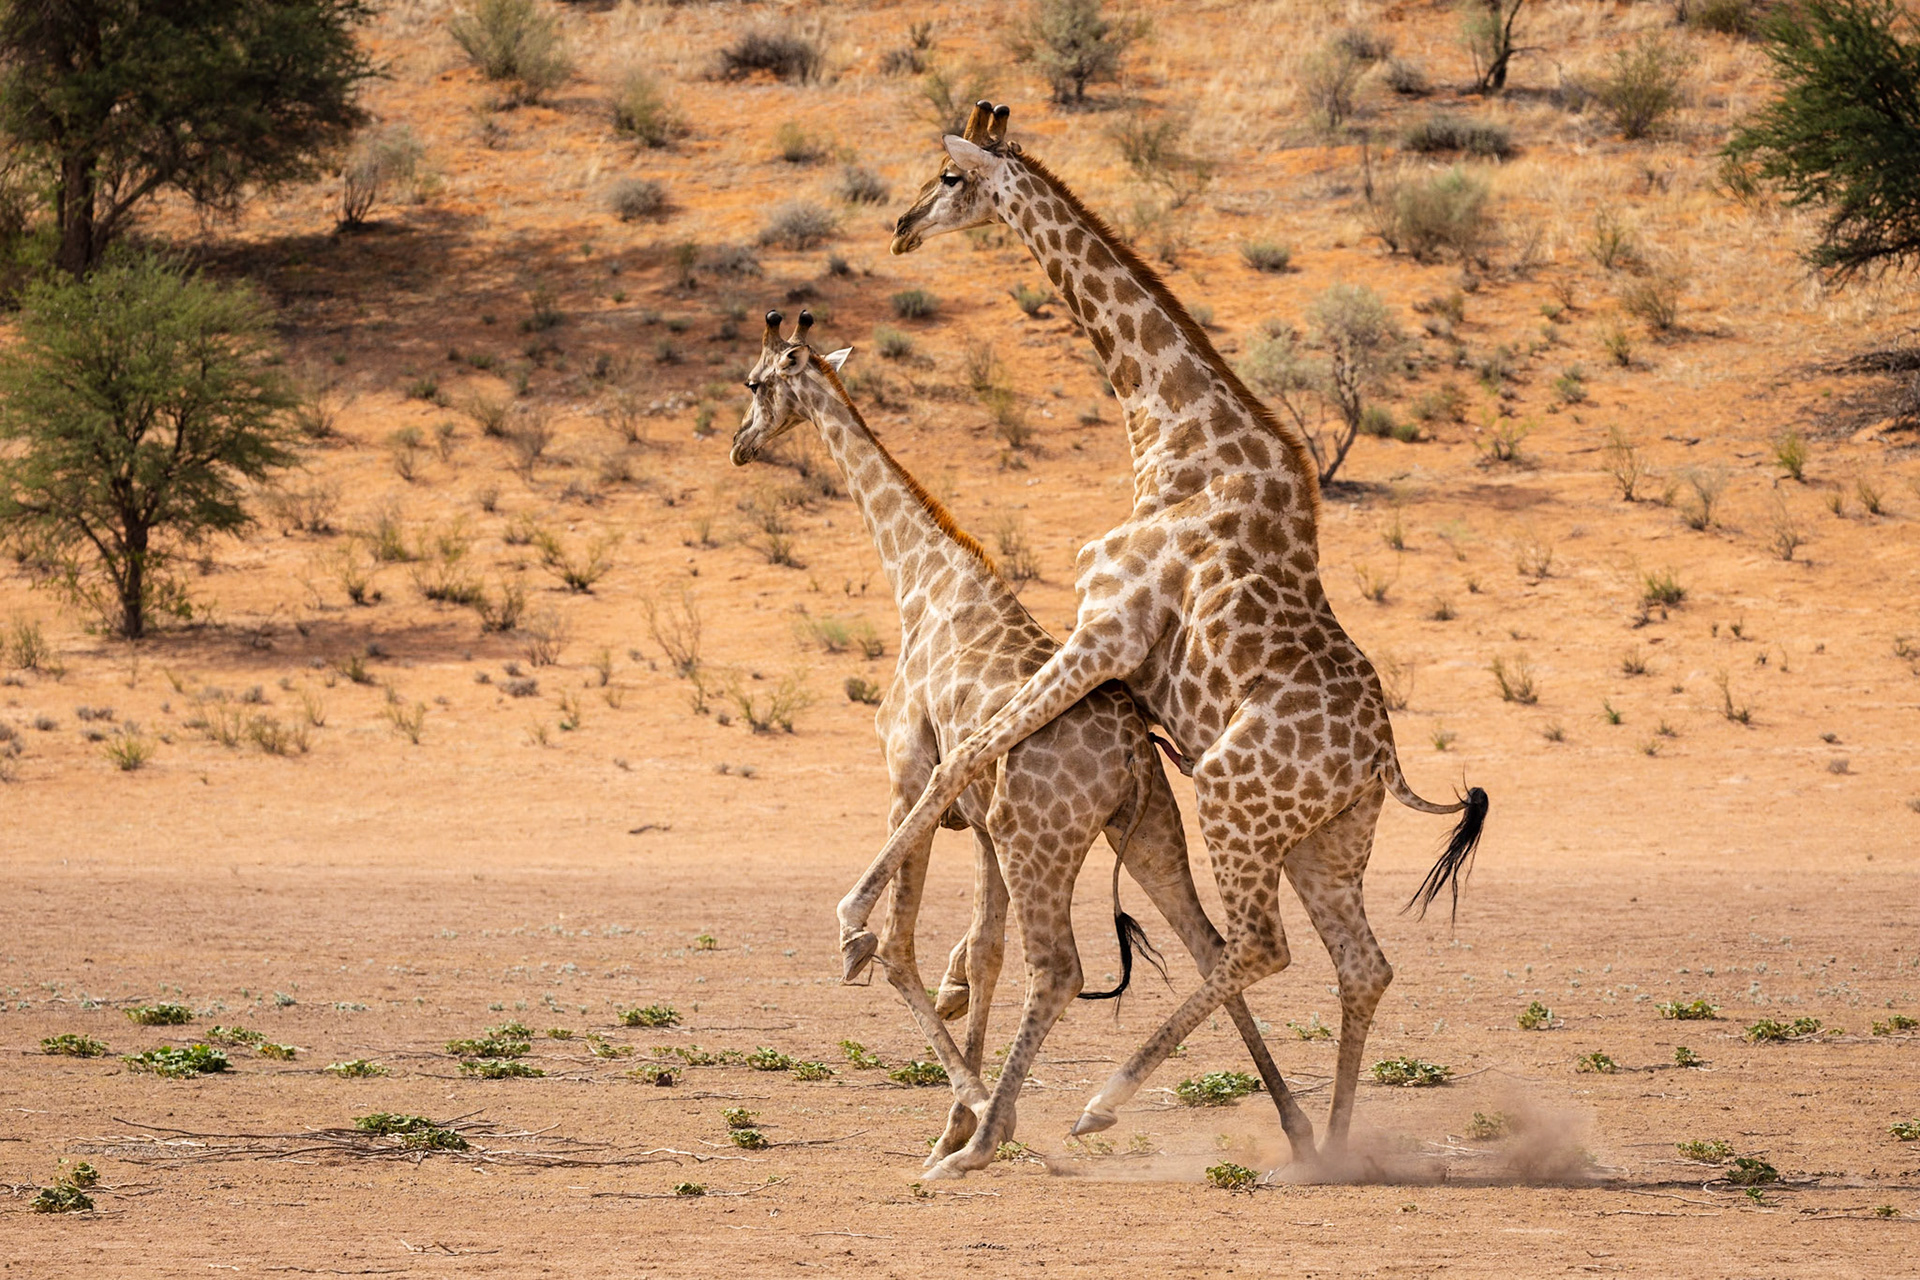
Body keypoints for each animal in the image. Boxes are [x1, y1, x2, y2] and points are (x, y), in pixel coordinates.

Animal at [731, 308, 1317, 1176]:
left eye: (755, 382)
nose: (739, 444)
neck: (920, 584)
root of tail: (1128, 754)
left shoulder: (909, 775)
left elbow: (901, 949)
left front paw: (964, 1109)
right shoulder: (978, 827)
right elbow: (983, 953)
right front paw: (953, 1116)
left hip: (1038, 837)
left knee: (1063, 968)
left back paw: (992, 1138)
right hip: (1146, 828)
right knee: (1209, 945)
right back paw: (1292, 1127)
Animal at [834, 101, 1490, 1157]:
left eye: (948, 176)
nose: (898, 226)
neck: (1171, 436)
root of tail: (1382, 763)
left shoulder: (1108, 626)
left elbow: (964, 754)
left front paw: (859, 926)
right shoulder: (1107, 653)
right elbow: (978, 759)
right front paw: (940, 972)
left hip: (1233, 801)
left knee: (1259, 946)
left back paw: (1104, 1102)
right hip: (1328, 843)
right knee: (1364, 965)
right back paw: (1331, 1147)